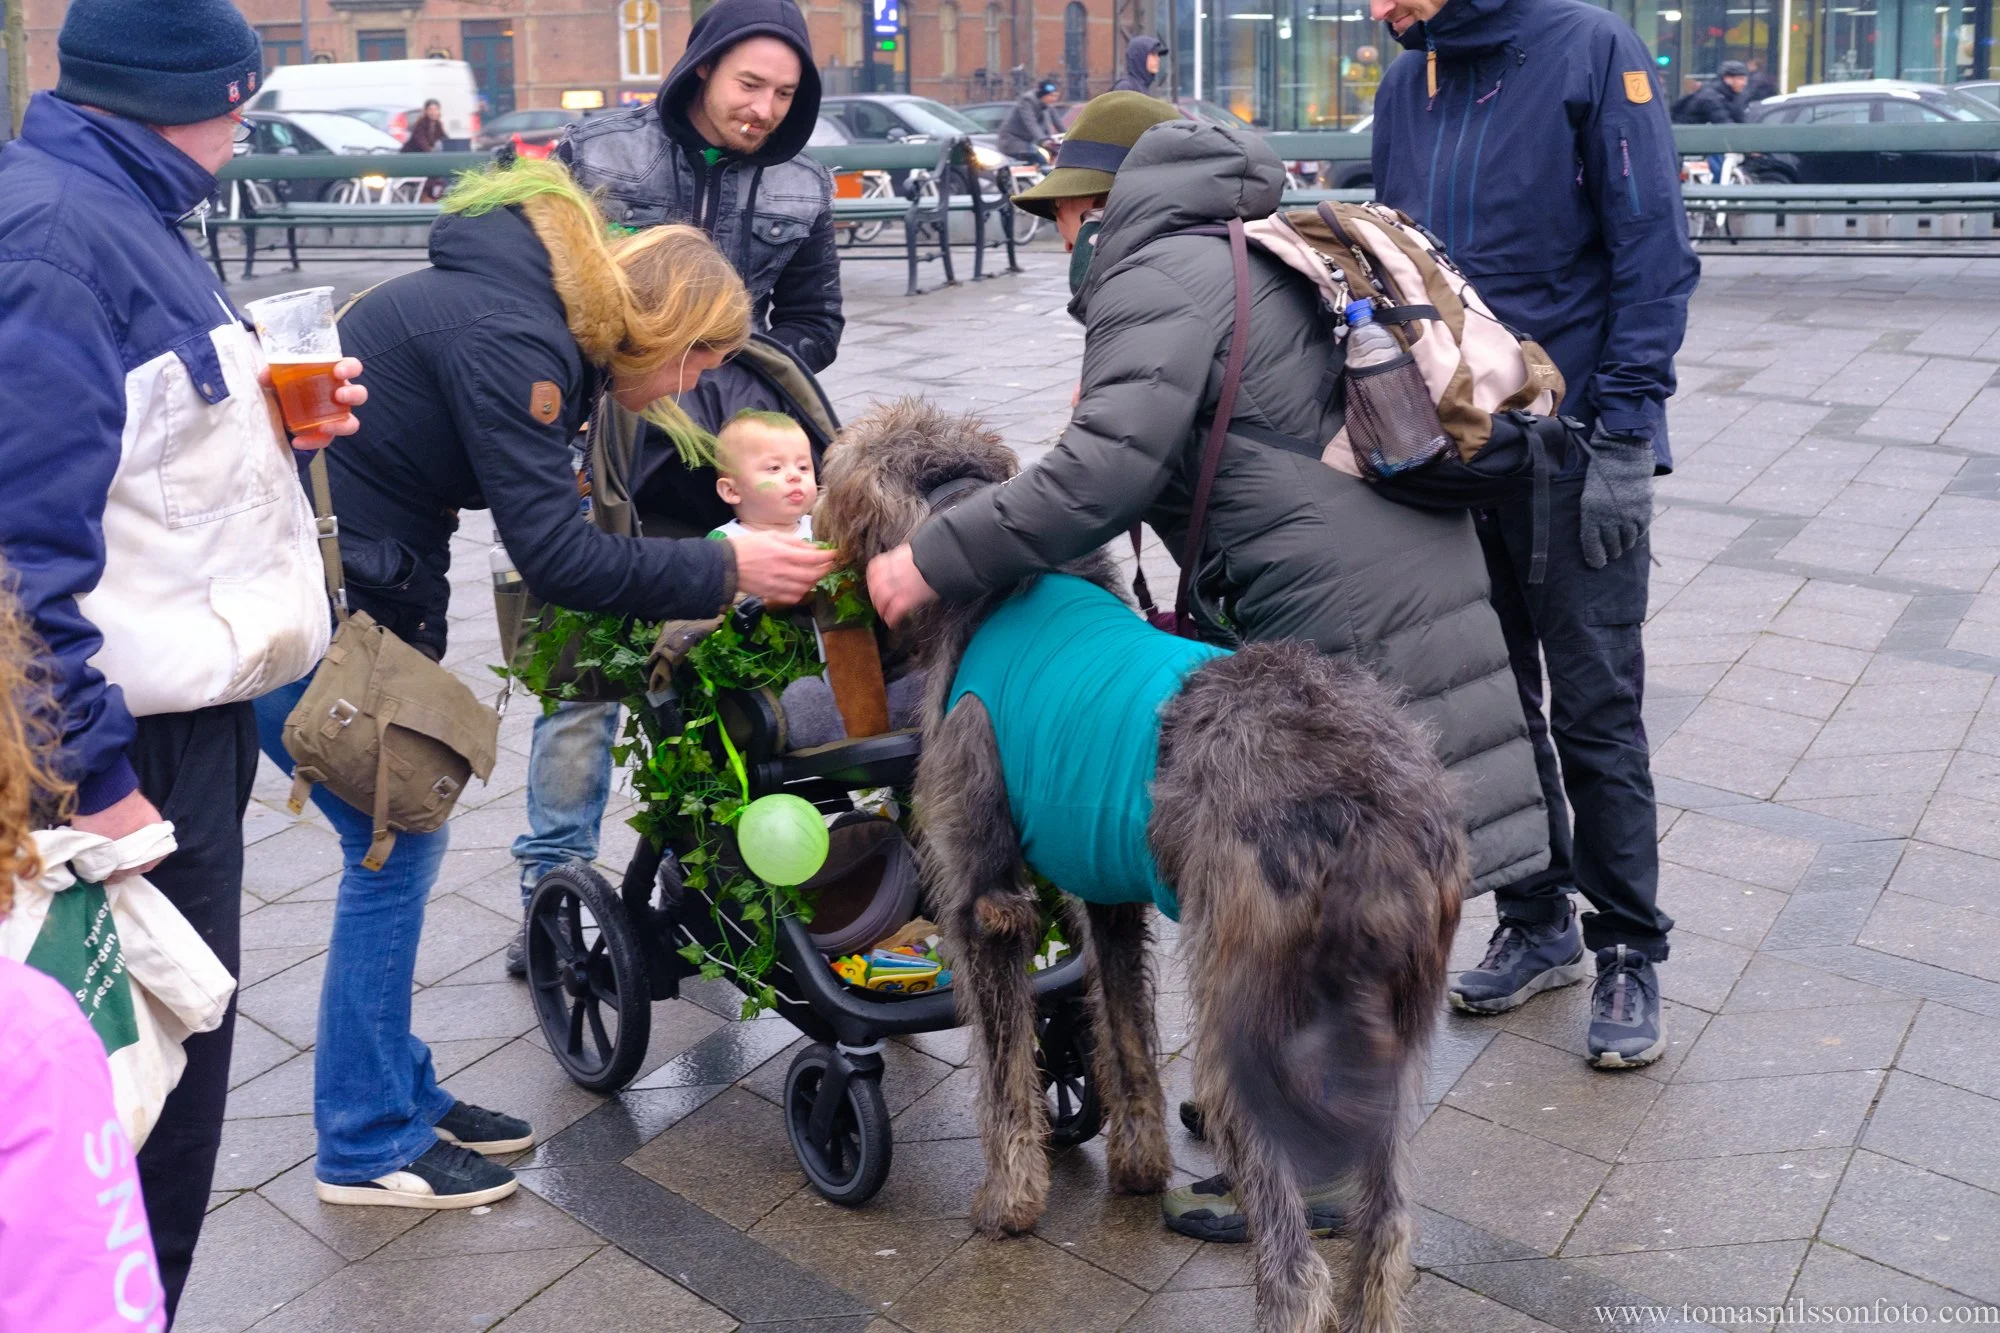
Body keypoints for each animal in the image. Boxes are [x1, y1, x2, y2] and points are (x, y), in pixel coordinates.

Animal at [817, 399, 1465, 1333]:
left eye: (834, 472)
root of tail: (1367, 815)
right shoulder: (1109, 888)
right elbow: (1121, 1021)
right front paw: (1137, 1161)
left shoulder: (985, 894)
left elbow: (1004, 1062)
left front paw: (1010, 1198)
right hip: (1390, 1024)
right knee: (1384, 1228)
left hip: (1255, 1019)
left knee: (1295, 1260)